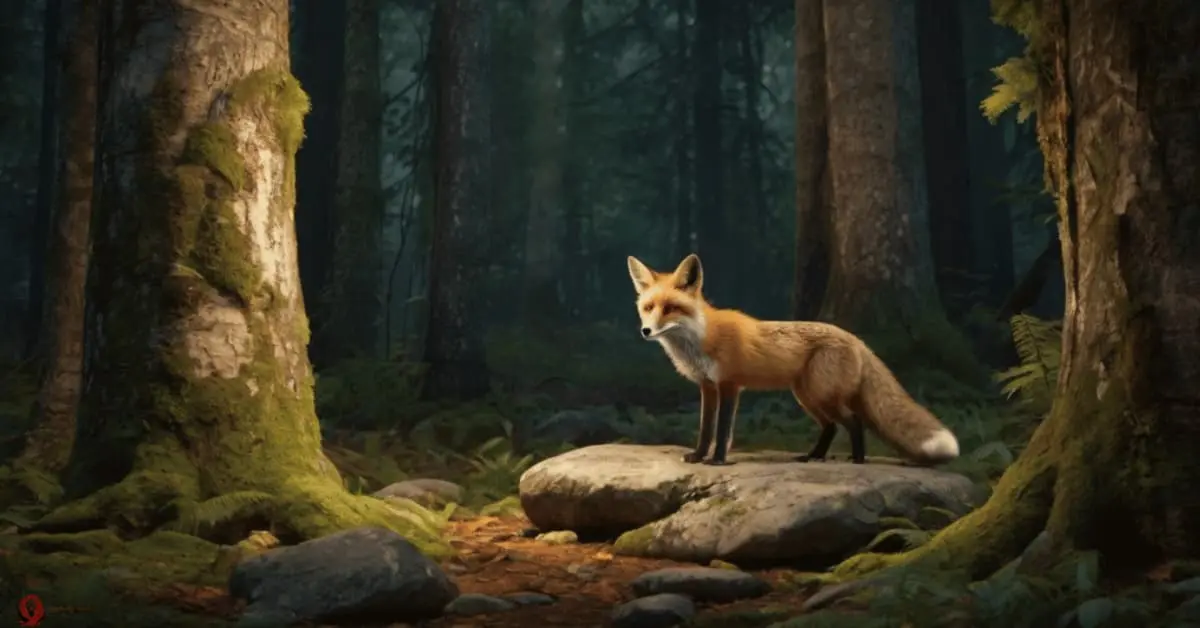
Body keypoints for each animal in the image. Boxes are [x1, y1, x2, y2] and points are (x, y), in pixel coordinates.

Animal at [626, 253, 960, 467]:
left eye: (671, 308)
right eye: (648, 307)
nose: (645, 331)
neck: (700, 338)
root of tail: (857, 340)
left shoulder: (730, 384)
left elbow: (722, 430)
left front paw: (718, 460)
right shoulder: (707, 386)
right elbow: (705, 428)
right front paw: (698, 456)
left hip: (821, 395)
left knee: (854, 421)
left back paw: (858, 459)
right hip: (807, 396)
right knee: (831, 427)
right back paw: (815, 456)